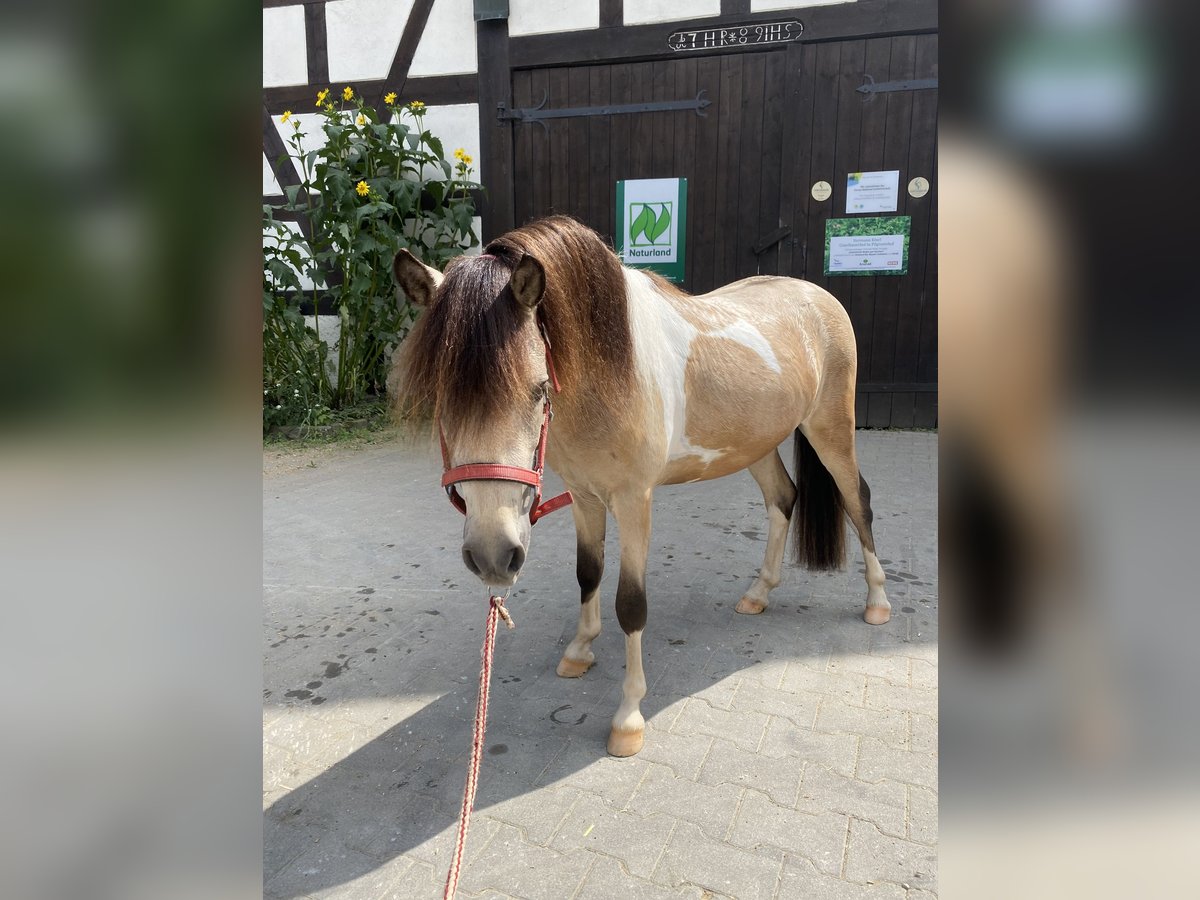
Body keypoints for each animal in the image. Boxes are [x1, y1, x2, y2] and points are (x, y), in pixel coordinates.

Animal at [393, 218, 892, 763]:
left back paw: (877, 602)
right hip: (756, 445)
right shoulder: (585, 496)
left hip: (831, 430)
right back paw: (758, 594)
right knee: (783, 499)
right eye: (442, 397)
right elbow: (588, 574)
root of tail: (817, 297)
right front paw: (579, 651)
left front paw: (628, 717)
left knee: (858, 502)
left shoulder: (634, 501)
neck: (608, 375)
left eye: (539, 389)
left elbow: (630, 603)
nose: (492, 555)